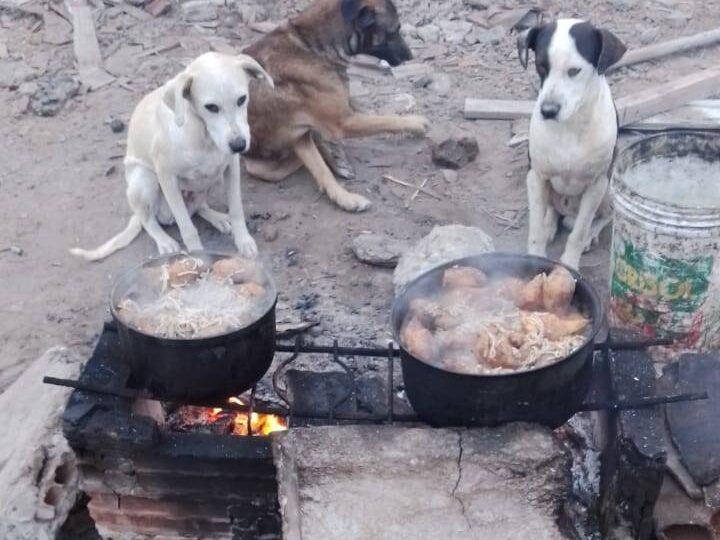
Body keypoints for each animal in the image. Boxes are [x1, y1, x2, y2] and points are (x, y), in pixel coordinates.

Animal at [71, 52, 272, 262]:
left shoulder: (231, 167)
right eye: (211, 107)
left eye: (242, 99)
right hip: (145, 179)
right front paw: (199, 257)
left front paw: (244, 241)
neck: (204, 135)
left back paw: (217, 218)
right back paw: (164, 241)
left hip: (208, 182)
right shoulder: (166, 177)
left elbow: (236, 210)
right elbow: (187, 228)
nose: (239, 145)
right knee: (148, 220)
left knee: (198, 207)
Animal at [248, 0, 428, 212]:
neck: (311, 47)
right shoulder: (343, 122)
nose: (411, 56)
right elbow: (387, 119)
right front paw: (416, 123)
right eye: (394, 30)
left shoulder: (334, 116)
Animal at [516, 19, 624, 270]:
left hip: (608, 190)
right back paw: (549, 224)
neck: (569, 126)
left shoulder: (596, 184)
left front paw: (570, 265)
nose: (548, 111)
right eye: (541, 66)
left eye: (574, 71)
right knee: (551, 211)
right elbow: (535, 229)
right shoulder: (535, 176)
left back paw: (591, 234)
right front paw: (536, 257)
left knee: (603, 217)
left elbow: (578, 233)